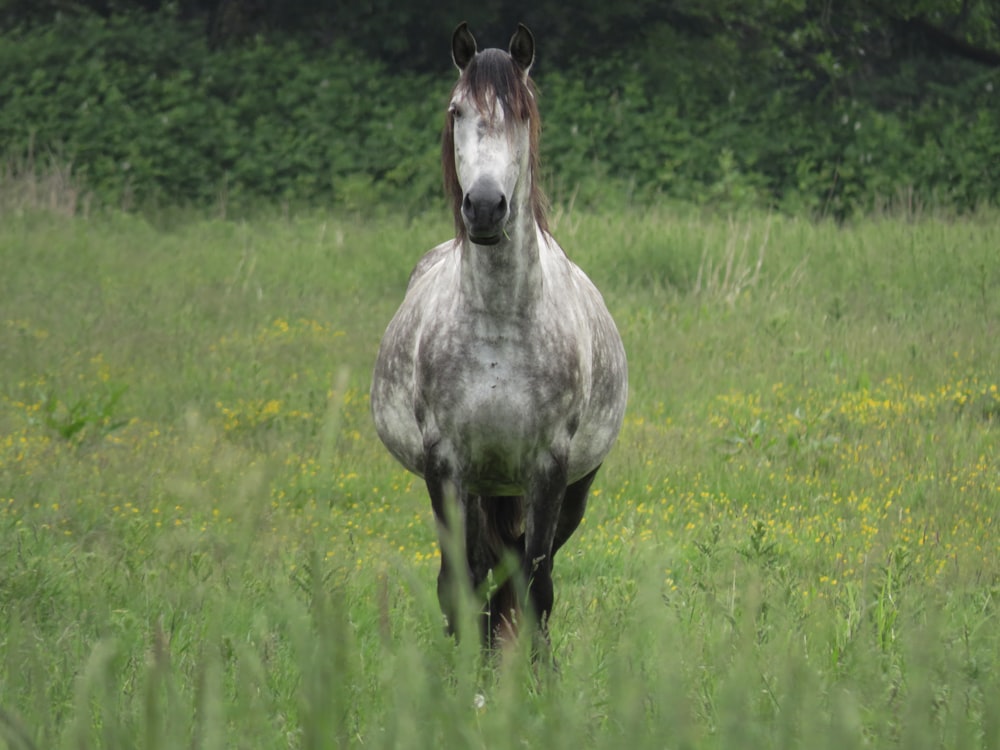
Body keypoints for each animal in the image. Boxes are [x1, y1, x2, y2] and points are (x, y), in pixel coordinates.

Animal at [372, 20, 628, 648]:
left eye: (522, 112)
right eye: (456, 110)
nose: (485, 207)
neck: (499, 326)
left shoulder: (550, 469)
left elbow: (536, 586)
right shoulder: (446, 465)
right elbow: (458, 586)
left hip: (572, 489)